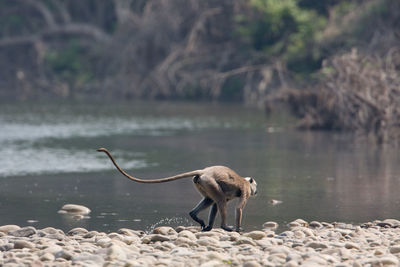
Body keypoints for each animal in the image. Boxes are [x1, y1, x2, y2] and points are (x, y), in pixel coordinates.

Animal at [98, 148, 258, 233]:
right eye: (255, 186)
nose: (256, 191)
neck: (245, 181)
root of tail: (204, 171)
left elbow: (214, 205)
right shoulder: (245, 189)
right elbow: (238, 208)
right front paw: (238, 229)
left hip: (202, 182)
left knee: (212, 200)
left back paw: (197, 217)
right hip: (209, 181)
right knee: (219, 200)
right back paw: (224, 226)